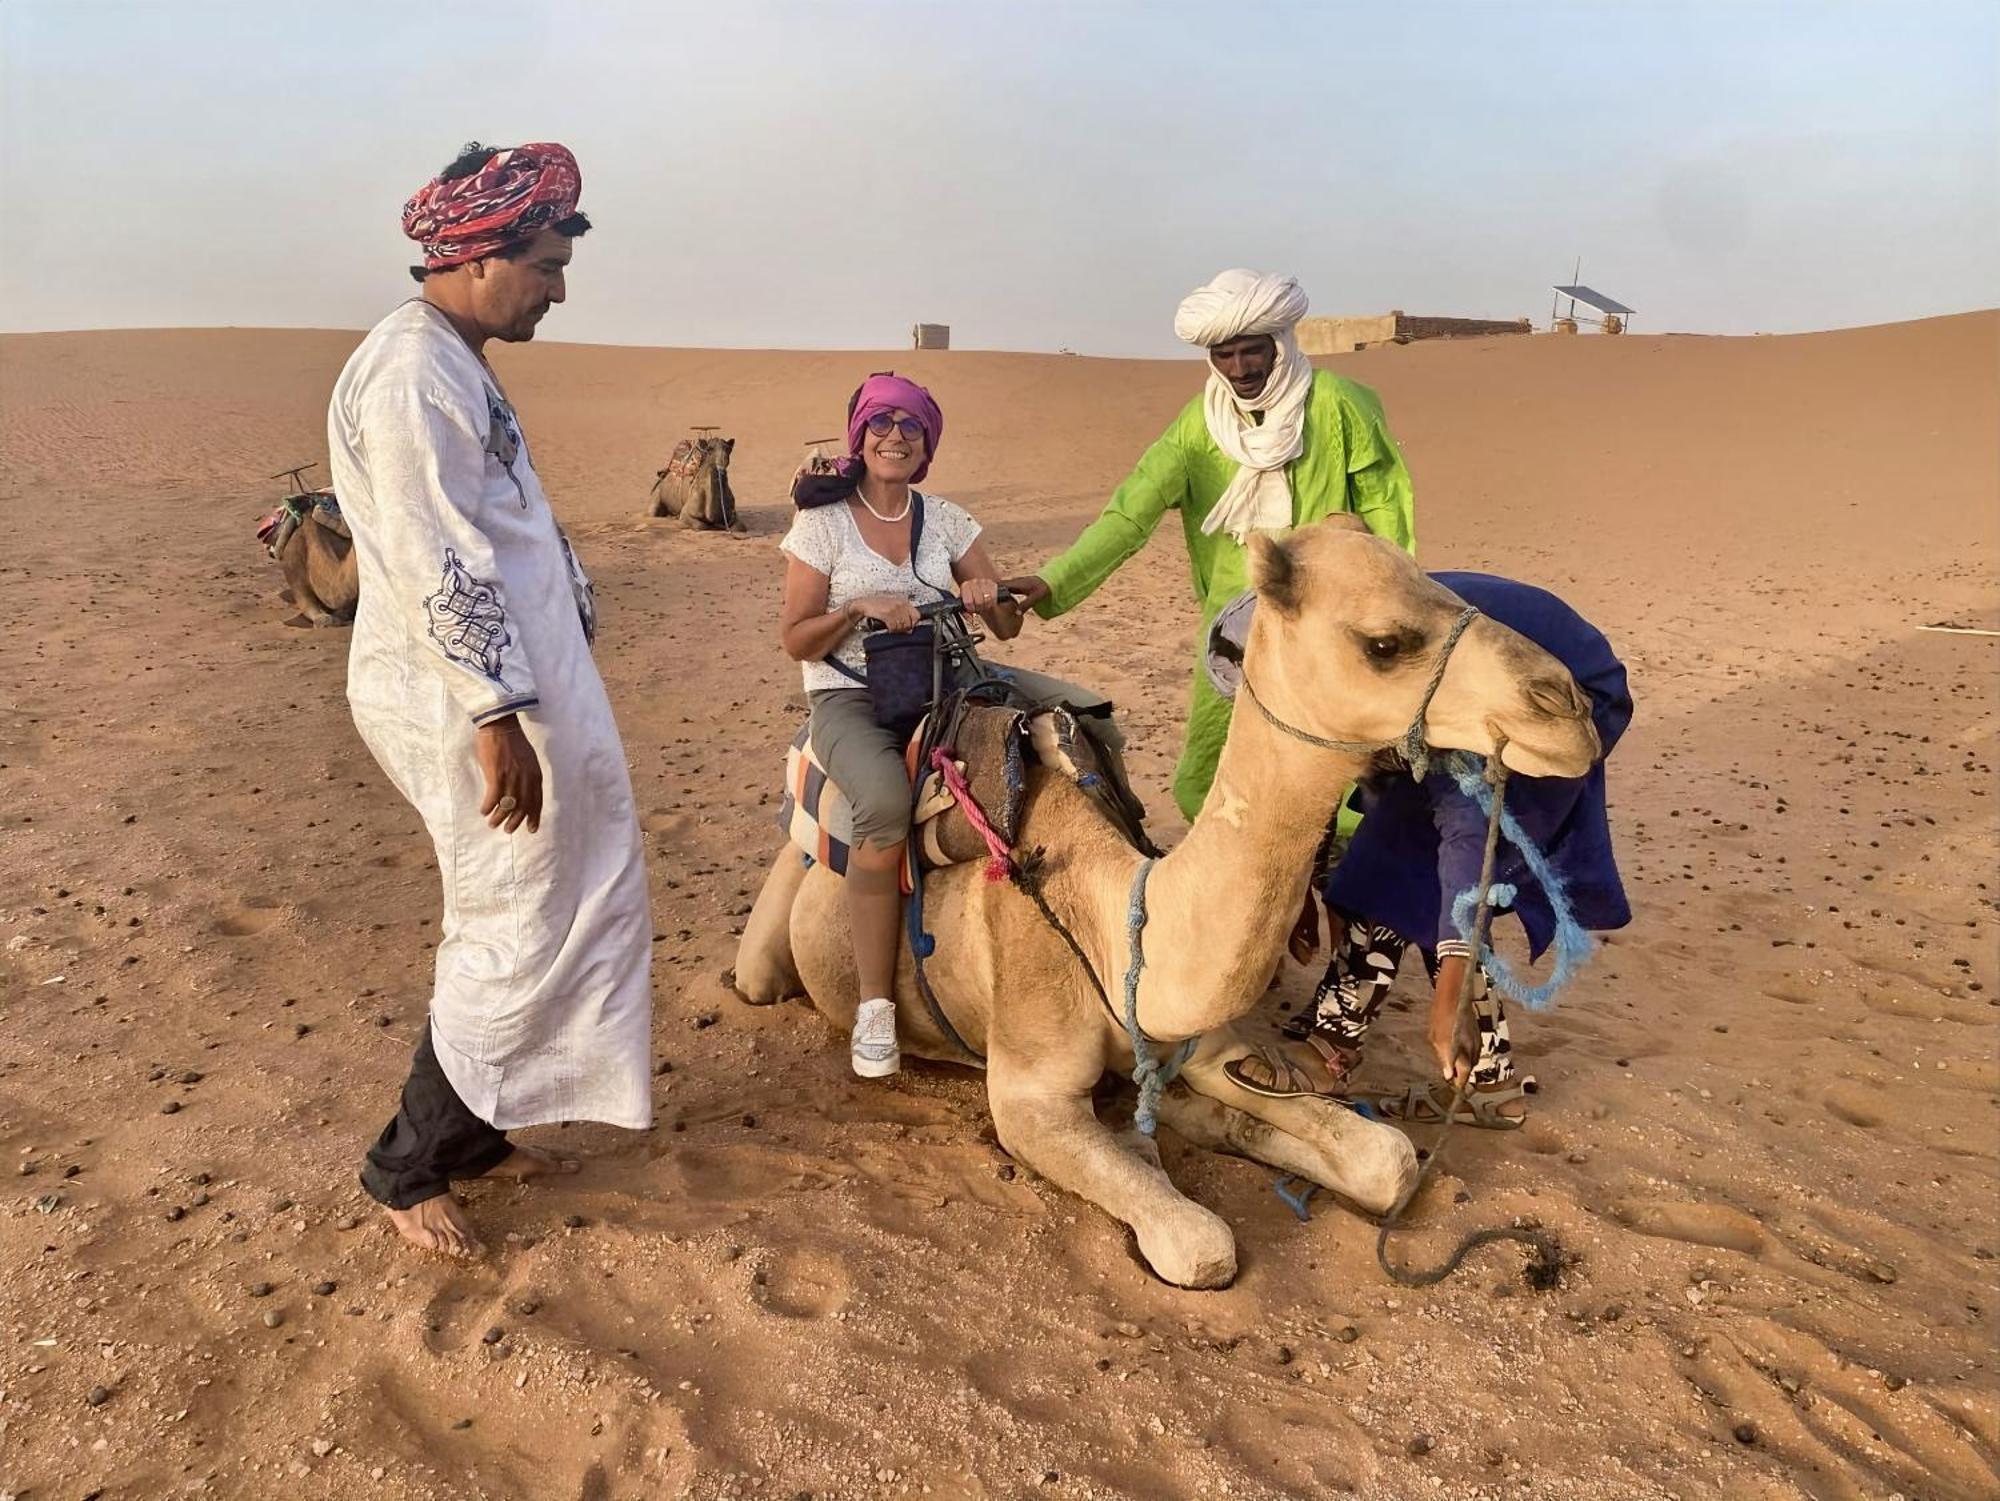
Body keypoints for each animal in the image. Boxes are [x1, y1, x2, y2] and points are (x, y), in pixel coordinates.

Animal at [740, 520, 1608, 1296]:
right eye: (1386, 643)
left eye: (1447, 589)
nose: (1569, 705)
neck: (1111, 922)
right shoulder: (1028, 1092)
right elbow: (1199, 1245)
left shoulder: (1206, 1043)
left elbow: (1385, 1156)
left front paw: (1212, 1120)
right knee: (758, 975)